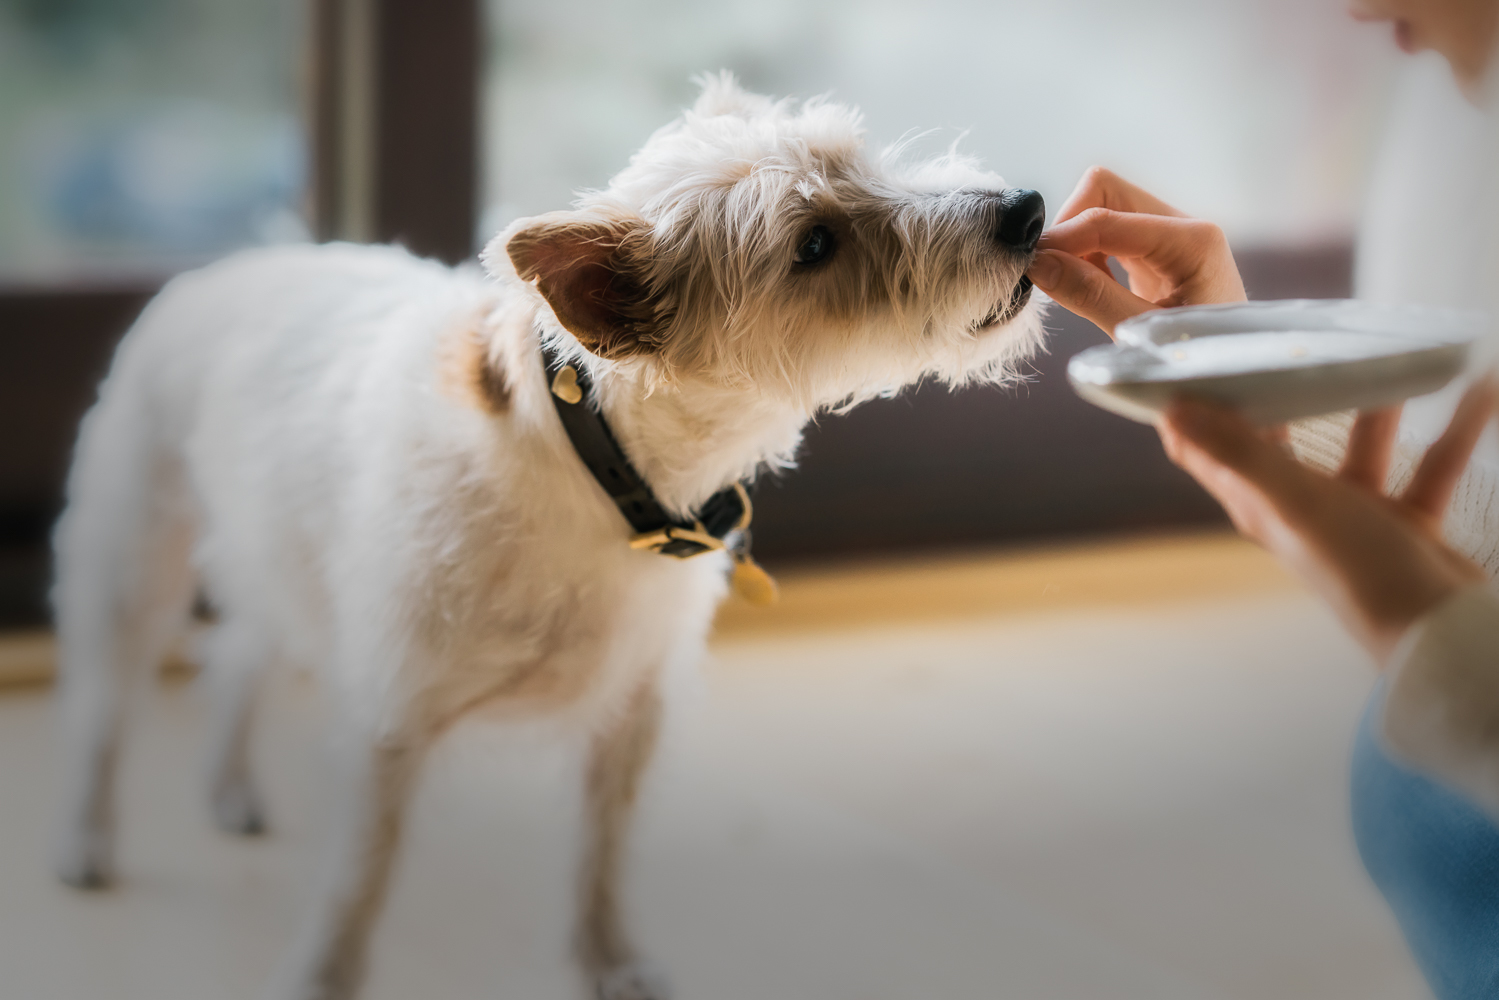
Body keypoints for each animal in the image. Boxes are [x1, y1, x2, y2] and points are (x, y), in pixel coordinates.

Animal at [55, 76, 1043, 1000]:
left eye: (866, 159)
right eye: (812, 246)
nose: (1025, 211)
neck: (603, 473)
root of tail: (228, 264)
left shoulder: (630, 716)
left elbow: (600, 859)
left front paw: (610, 961)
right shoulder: (389, 726)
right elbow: (357, 885)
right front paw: (320, 980)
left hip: (274, 556)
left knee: (240, 657)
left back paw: (229, 789)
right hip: (134, 570)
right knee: (106, 709)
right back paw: (87, 842)